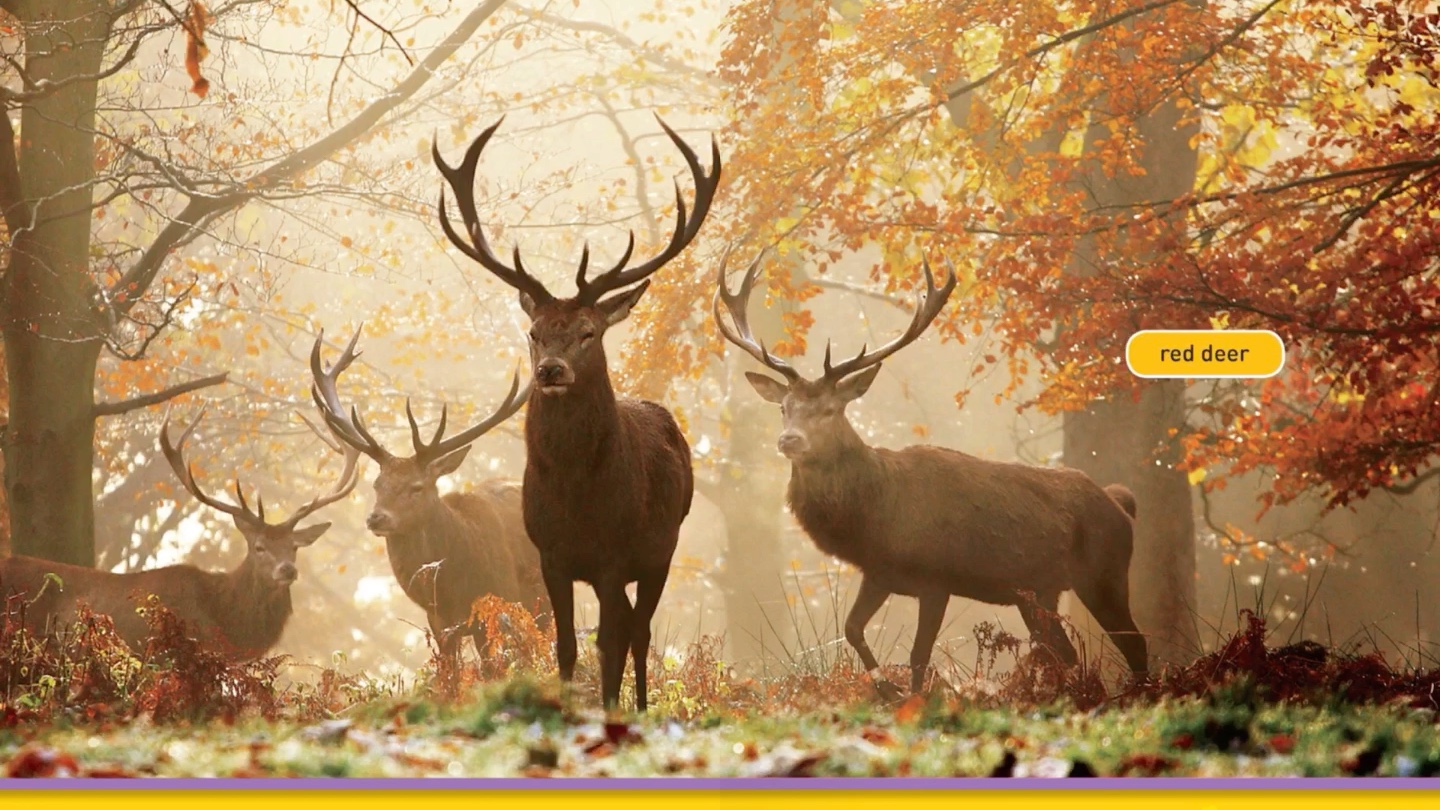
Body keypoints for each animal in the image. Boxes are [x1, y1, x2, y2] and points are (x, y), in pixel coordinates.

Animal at [308, 324, 544, 665]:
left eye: (416, 487)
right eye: (377, 484)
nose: (376, 518)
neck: (452, 589)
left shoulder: (496, 606)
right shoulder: (439, 623)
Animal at [717, 252, 1146, 694]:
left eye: (831, 409)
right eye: (783, 407)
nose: (789, 440)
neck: (876, 518)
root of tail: (1120, 504)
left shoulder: (937, 579)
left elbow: (918, 656)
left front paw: (912, 698)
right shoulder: (879, 573)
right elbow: (852, 629)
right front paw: (884, 688)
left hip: (1105, 572)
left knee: (1134, 642)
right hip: (1039, 592)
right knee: (1062, 650)